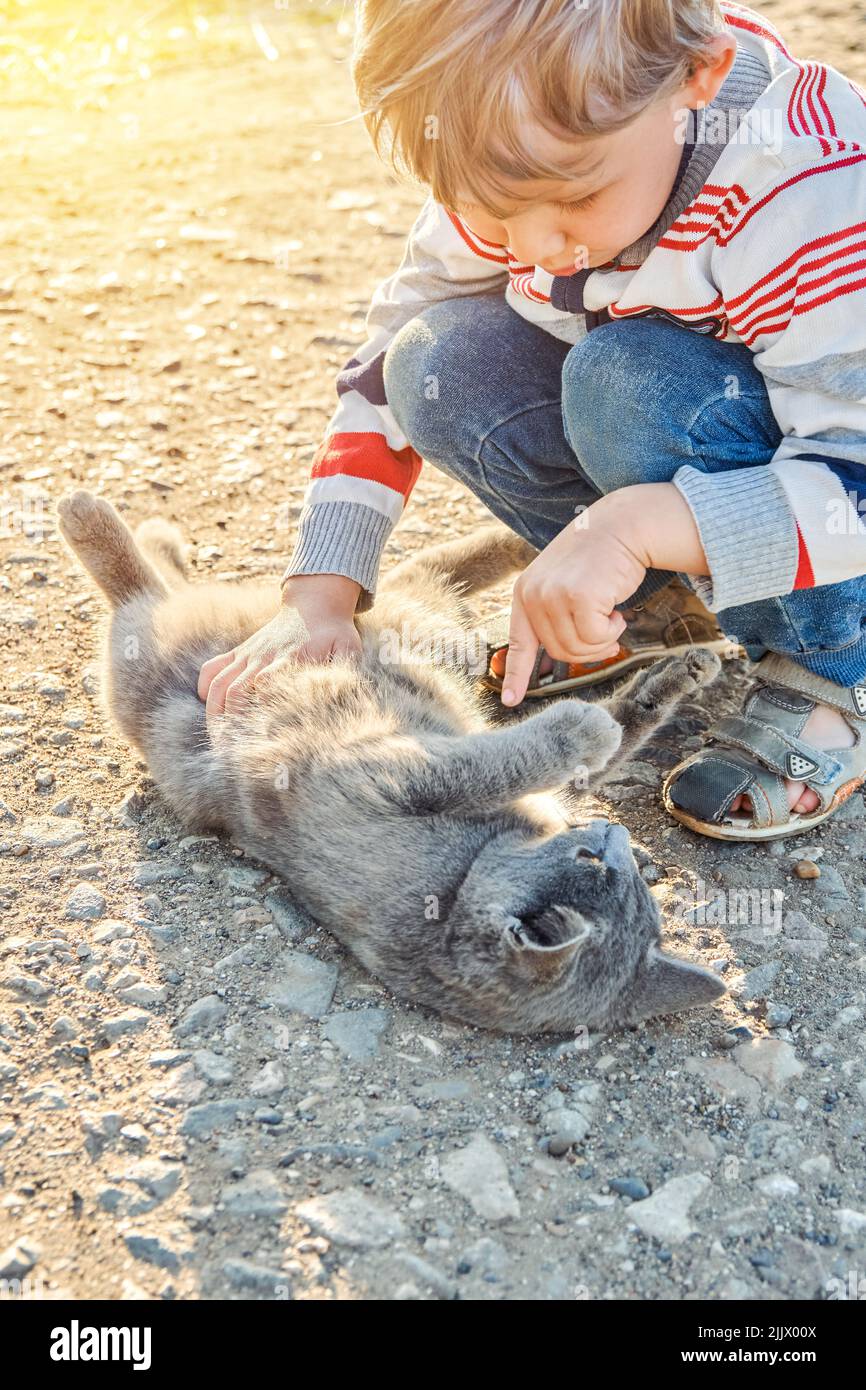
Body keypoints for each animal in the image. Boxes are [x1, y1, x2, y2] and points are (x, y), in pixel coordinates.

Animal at [57, 489, 728, 1034]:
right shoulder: (395, 770)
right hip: (390, 620)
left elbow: (611, 734)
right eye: (591, 858)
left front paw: (667, 681)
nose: (615, 835)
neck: (460, 877)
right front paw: (601, 715)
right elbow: (504, 757)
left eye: (632, 877)